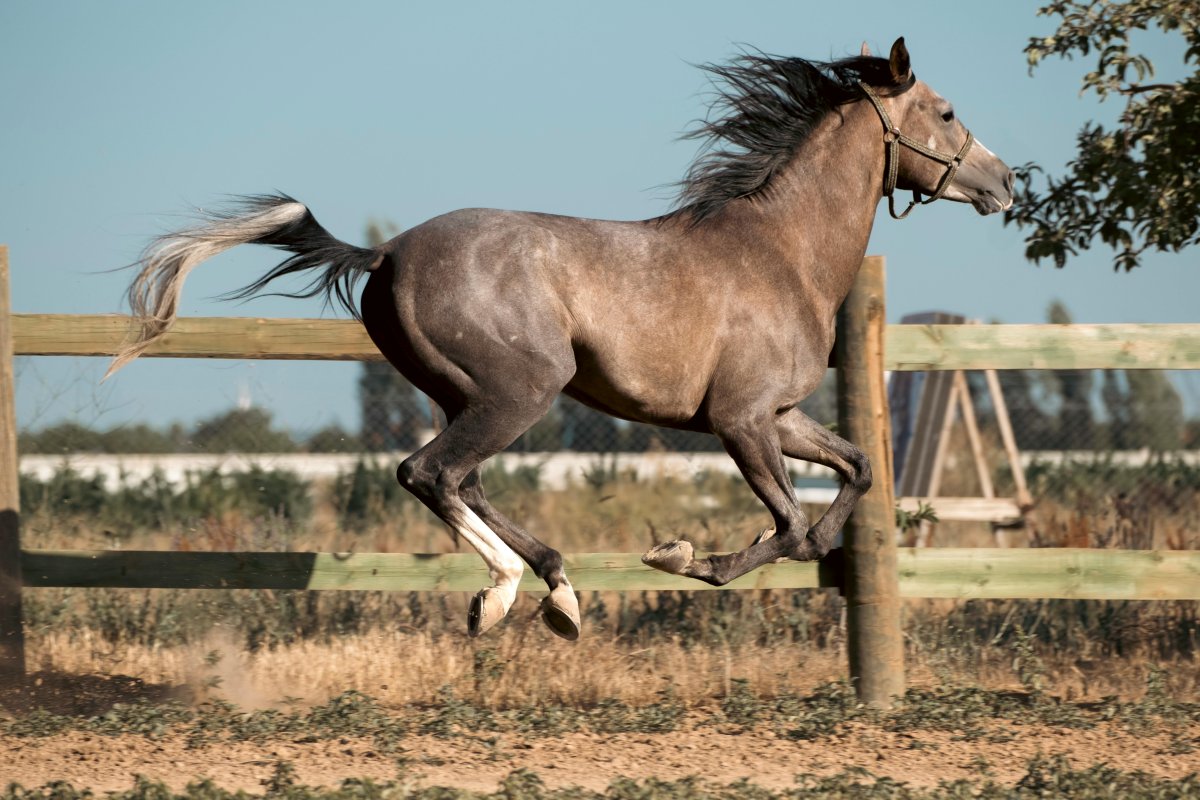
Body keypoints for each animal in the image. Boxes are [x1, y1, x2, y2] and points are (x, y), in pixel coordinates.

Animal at [107, 38, 1013, 642]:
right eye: (946, 112)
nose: (1005, 181)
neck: (781, 251)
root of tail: (388, 251)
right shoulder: (742, 420)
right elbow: (787, 526)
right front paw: (682, 555)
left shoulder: (781, 417)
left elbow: (855, 472)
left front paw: (792, 542)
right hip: (522, 391)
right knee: (430, 473)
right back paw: (505, 595)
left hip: (468, 395)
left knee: (461, 481)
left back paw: (558, 592)